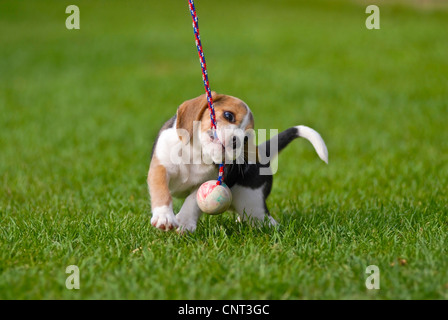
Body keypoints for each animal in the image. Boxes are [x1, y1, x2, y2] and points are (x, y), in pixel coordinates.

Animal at [149, 91, 328, 231]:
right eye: (229, 115)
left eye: (247, 137)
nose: (237, 141)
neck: (197, 154)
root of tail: (263, 152)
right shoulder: (160, 167)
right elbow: (161, 190)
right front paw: (164, 217)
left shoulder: (209, 182)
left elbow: (192, 201)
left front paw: (185, 222)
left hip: (252, 204)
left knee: (268, 222)